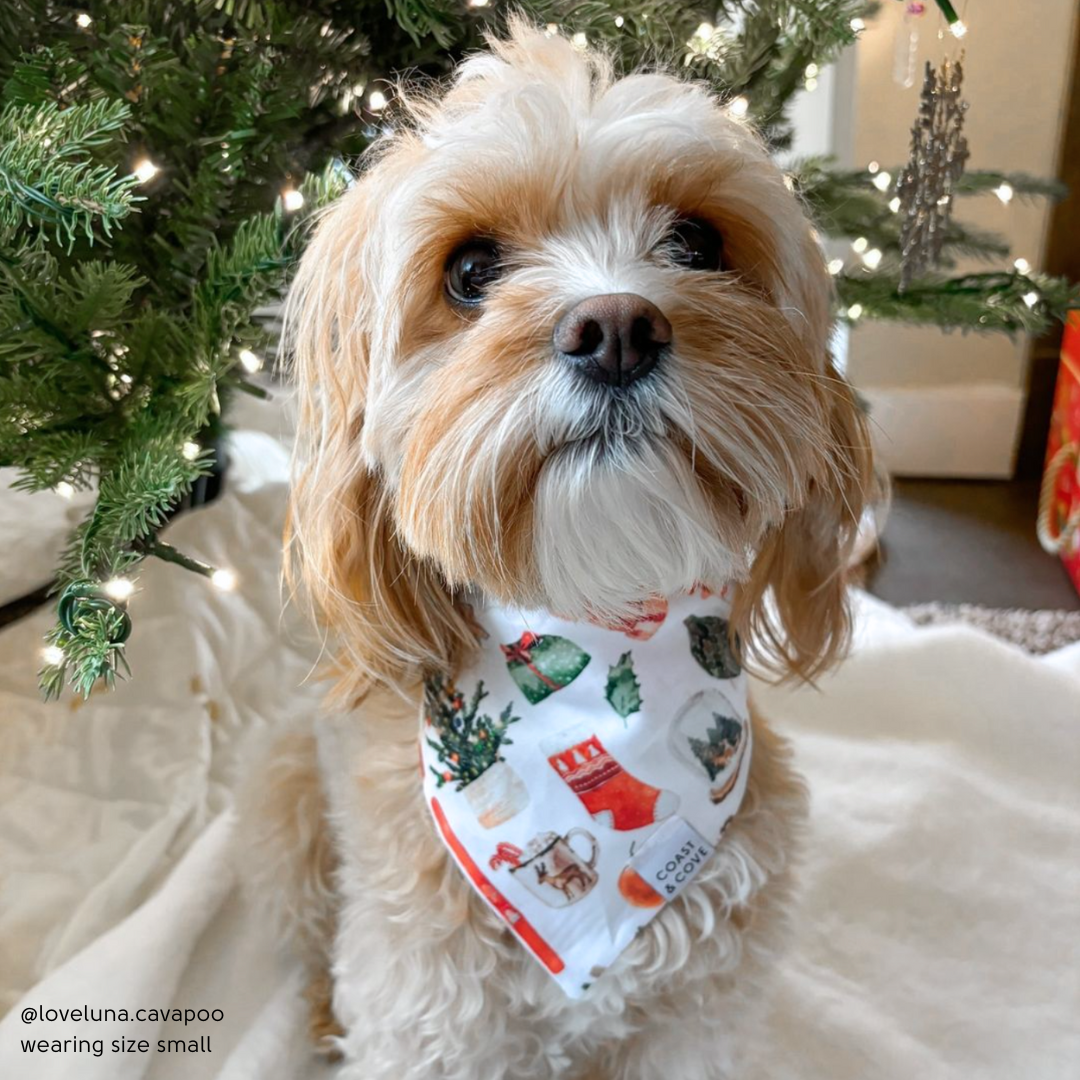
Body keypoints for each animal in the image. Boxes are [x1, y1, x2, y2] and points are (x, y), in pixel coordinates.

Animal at [248, 19, 872, 1080]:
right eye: (470, 271)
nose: (615, 327)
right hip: (288, 816)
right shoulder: (431, 1017)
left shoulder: (695, 1020)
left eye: (697, 242)